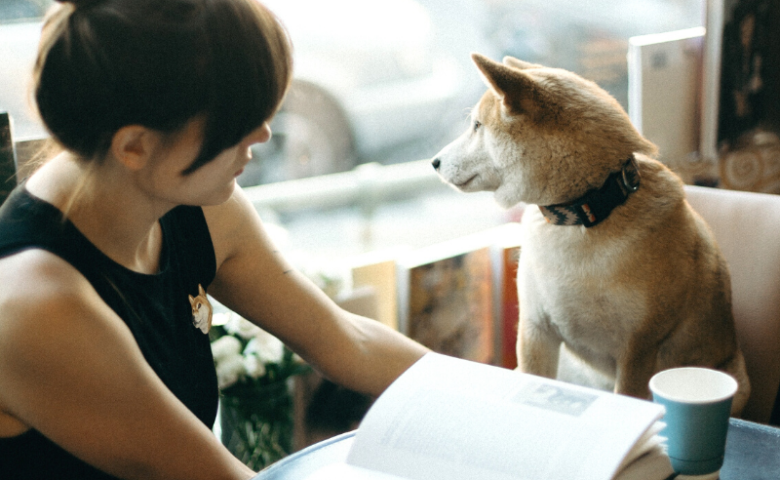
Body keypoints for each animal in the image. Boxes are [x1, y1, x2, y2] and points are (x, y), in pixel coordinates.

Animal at [432, 52, 748, 412]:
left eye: (476, 126)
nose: (433, 162)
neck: (581, 215)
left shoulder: (637, 348)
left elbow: (628, 394)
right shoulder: (535, 330)